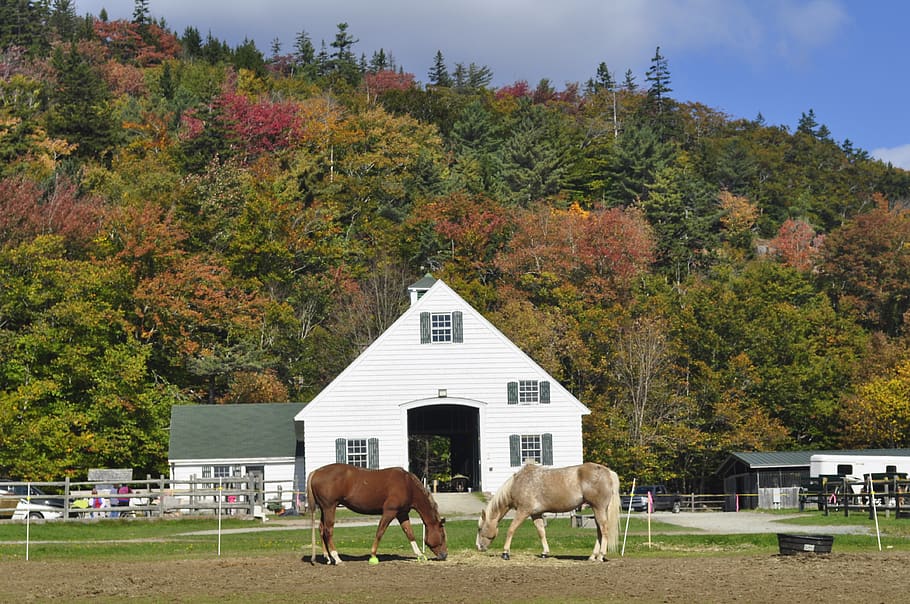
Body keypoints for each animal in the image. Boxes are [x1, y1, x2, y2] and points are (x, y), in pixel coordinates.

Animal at [306, 463, 447, 565]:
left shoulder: (402, 513)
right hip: (329, 507)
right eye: (442, 535)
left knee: (321, 529)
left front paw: (420, 555)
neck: (407, 484)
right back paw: (337, 558)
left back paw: (328, 557)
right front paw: (373, 556)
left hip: (324, 508)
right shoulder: (390, 512)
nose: (444, 555)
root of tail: (316, 472)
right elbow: (380, 532)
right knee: (328, 530)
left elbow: (409, 533)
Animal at [476, 461, 620, 561]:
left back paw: (600, 556)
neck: (518, 483)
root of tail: (608, 472)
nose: (478, 547)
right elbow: (541, 532)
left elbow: (511, 530)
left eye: (479, 528)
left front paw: (505, 553)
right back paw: (593, 556)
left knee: (604, 530)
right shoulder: (536, 514)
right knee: (599, 531)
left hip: (598, 508)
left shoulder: (523, 511)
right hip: (597, 510)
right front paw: (545, 553)